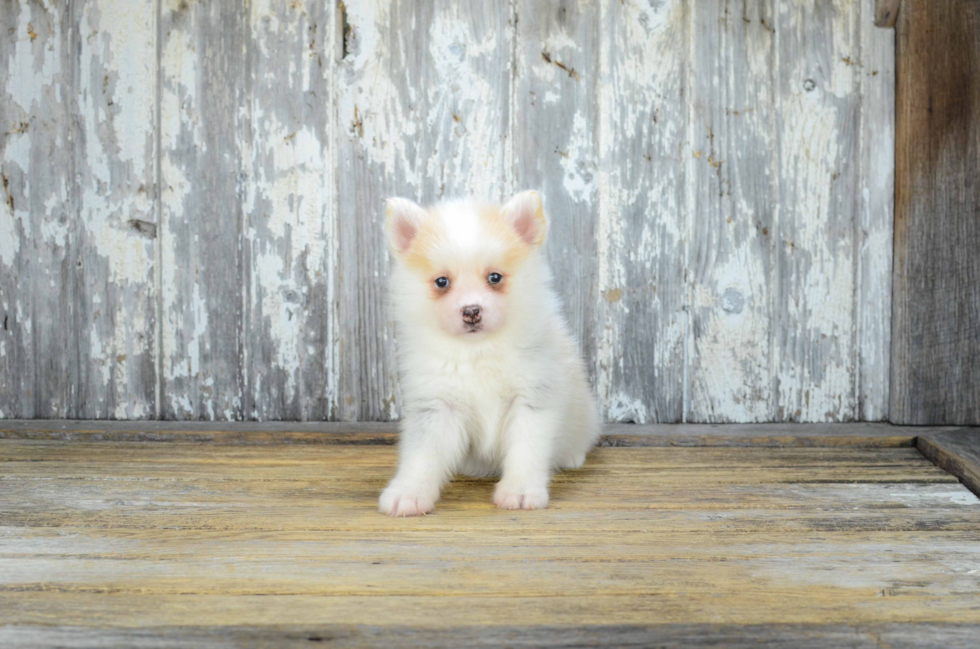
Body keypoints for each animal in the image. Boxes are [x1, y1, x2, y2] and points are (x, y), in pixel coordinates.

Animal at [378, 189, 600, 516]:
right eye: (442, 281)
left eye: (494, 277)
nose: (472, 311)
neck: (479, 351)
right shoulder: (438, 406)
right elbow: (422, 456)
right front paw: (409, 493)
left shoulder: (531, 399)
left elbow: (526, 451)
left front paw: (520, 491)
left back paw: (572, 456)